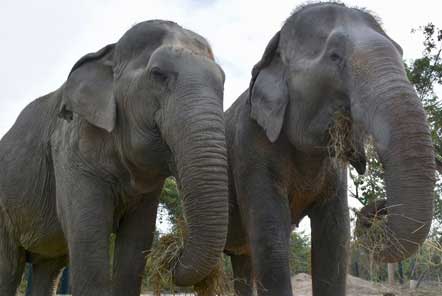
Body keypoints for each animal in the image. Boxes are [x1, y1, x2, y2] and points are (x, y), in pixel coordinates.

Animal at [0, 19, 228, 294]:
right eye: (157, 74)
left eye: (223, 82)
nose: (174, 258)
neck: (110, 52)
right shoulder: (71, 148)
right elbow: (87, 229)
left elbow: (138, 237)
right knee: (9, 266)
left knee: (49, 266)